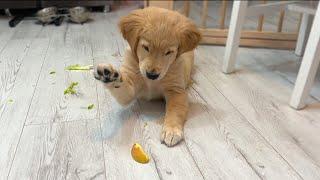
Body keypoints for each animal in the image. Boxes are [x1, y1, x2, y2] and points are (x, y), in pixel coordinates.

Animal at [94, 6, 200, 146]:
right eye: (145, 47)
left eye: (169, 52)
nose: (152, 75)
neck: (152, 82)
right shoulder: (130, 86)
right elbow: (122, 87)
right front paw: (109, 75)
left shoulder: (177, 91)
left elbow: (175, 110)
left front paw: (171, 130)